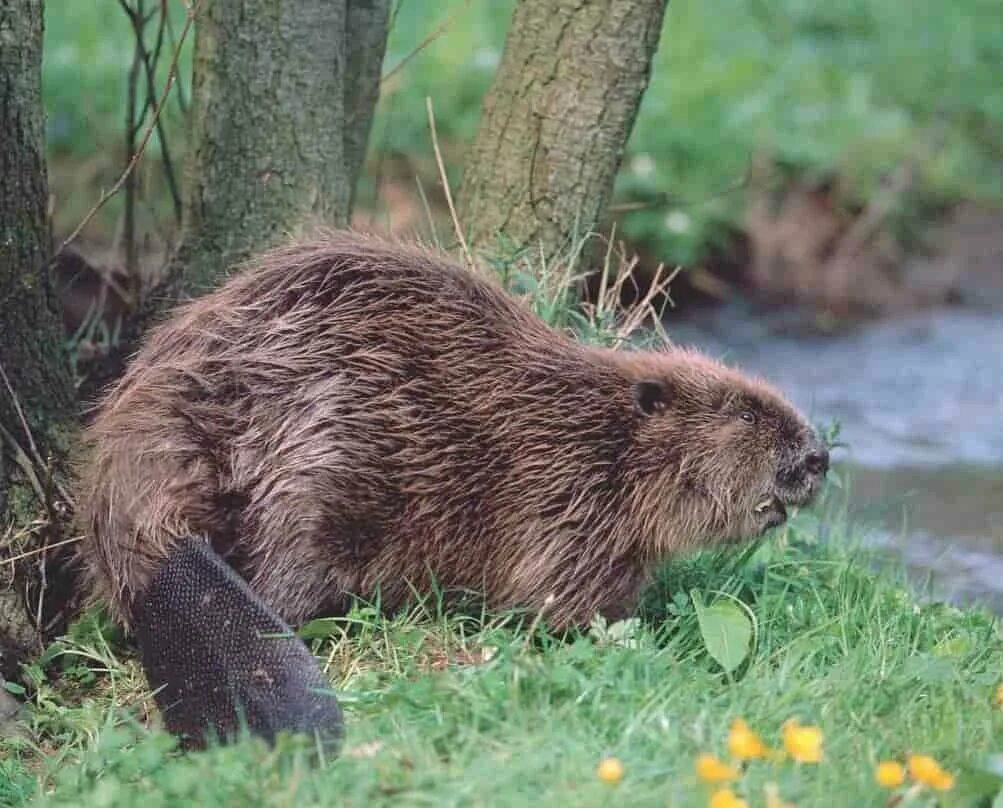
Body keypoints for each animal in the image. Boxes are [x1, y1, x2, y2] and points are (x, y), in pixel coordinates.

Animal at [74, 229, 830, 745]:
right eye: (745, 412)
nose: (819, 456)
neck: (595, 428)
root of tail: (152, 539)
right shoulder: (566, 503)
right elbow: (561, 603)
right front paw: (634, 638)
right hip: (313, 485)